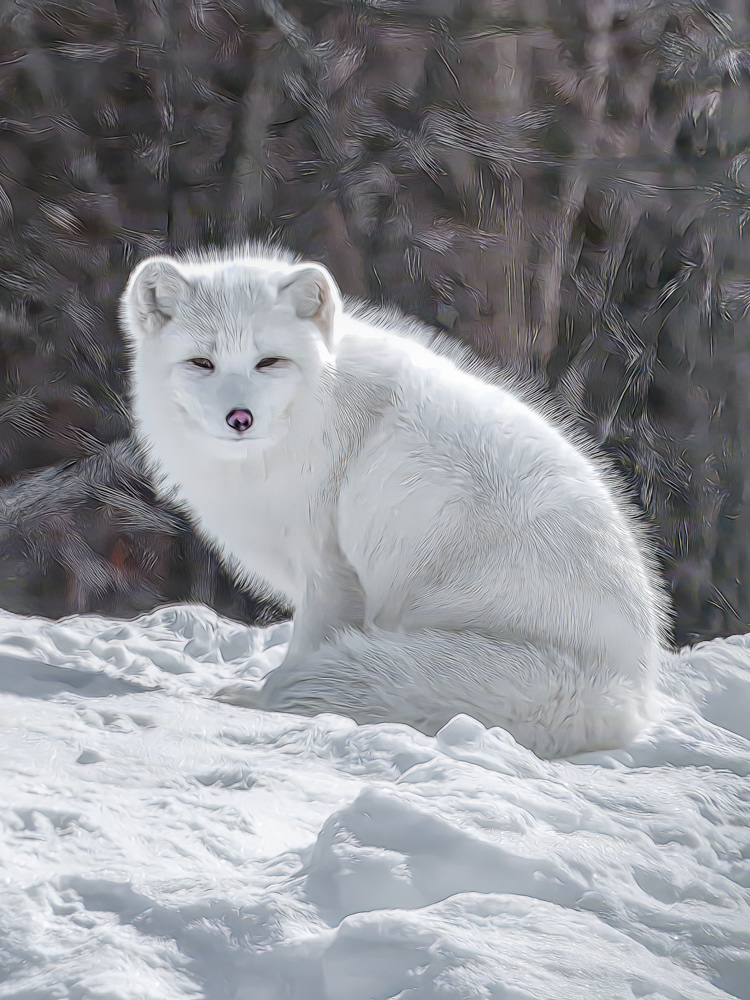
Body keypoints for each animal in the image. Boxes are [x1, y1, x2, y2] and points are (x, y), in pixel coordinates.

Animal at [120, 247, 670, 757]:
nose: (240, 418)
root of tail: (626, 691)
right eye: (201, 363)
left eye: (268, 361)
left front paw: (256, 700)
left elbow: (305, 645)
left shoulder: (328, 567)